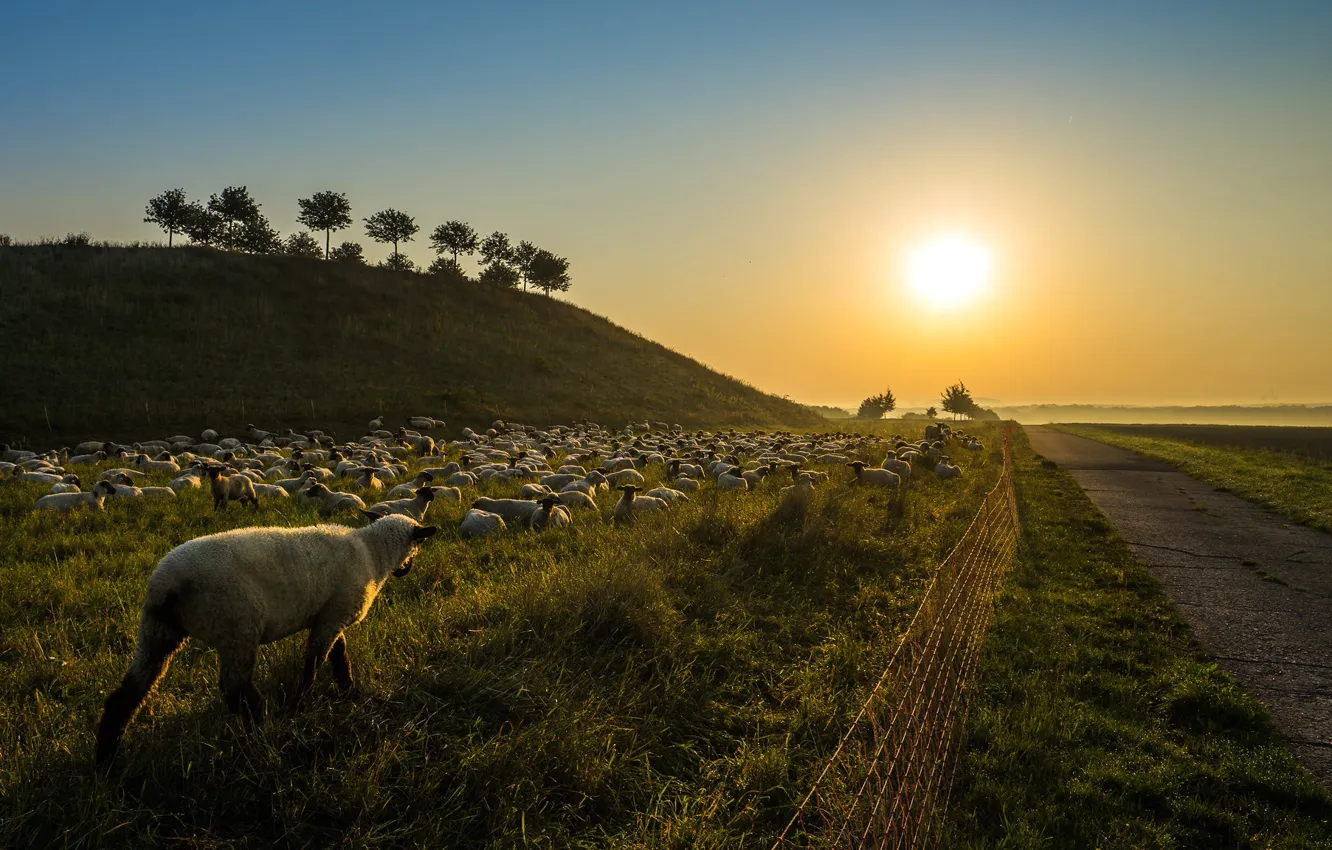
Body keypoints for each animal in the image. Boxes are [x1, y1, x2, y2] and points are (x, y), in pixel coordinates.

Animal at [93, 516, 436, 767]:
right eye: (418, 546)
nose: (406, 571)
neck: (372, 552)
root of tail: (166, 584)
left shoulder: (330, 616)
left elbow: (340, 657)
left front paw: (348, 692)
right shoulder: (332, 618)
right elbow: (314, 663)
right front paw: (301, 703)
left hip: (158, 632)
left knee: (128, 693)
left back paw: (106, 759)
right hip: (237, 627)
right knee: (234, 689)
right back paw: (262, 726)